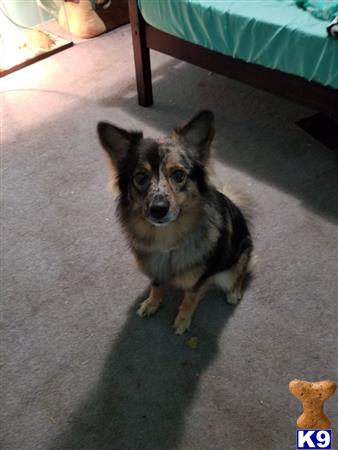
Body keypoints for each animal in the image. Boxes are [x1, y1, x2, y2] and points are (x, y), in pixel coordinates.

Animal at [96, 110, 252, 334]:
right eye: (140, 177)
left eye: (178, 175)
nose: (158, 209)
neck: (166, 238)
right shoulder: (155, 268)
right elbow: (156, 286)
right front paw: (152, 303)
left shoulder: (198, 281)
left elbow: (189, 300)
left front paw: (182, 321)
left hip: (235, 262)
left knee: (240, 273)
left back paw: (234, 291)